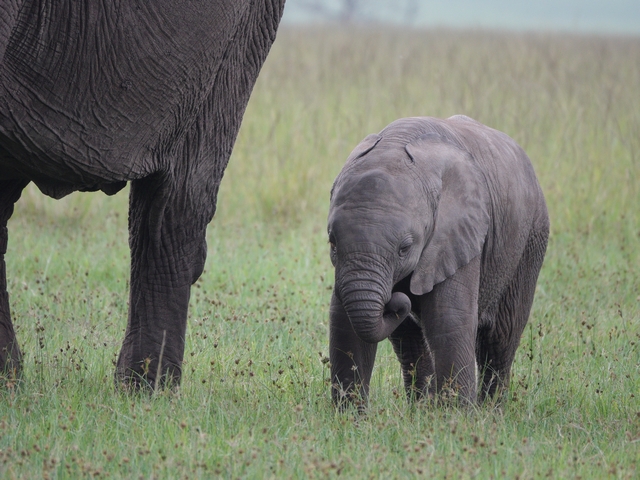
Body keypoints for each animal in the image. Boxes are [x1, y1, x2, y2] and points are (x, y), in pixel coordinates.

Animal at [327, 115, 549, 407]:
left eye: (404, 248)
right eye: (332, 242)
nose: (396, 299)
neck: (395, 142)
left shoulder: (458, 232)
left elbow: (449, 318)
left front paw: (456, 417)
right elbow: (344, 323)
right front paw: (348, 417)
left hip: (530, 239)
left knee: (501, 337)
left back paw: (490, 412)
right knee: (409, 341)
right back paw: (422, 410)